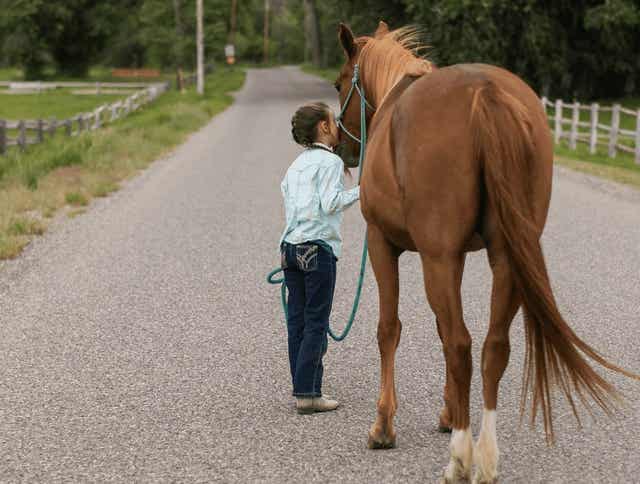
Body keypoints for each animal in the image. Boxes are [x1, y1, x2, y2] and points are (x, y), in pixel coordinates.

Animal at [336, 20, 636, 482]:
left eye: (339, 85)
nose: (341, 147)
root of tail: (484, 92)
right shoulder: (455, 256)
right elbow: (441, 330)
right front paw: (448, 413)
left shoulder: (385, 243)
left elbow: (390, 329)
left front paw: (383, 426)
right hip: (506, 257)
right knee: (494, 347)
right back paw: (487, 458)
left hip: (439, 258)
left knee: (461, 345)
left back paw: (461, 459)